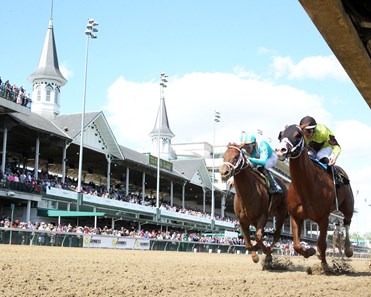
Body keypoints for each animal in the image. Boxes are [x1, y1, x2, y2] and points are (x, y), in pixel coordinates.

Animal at [276, 123, 354, 268]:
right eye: (281, 135)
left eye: (297, 135)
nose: (280, 150)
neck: (307, 186)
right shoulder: (296, 216)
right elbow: (297, 245)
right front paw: (310, 251)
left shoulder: (324, 218)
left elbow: (322, 244)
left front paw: (324, 266)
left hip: (348, 206)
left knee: (346, 224)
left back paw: (348, 249)